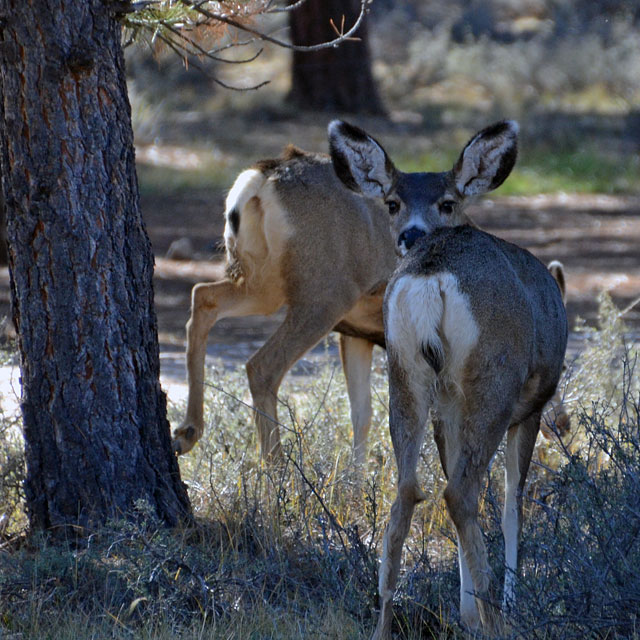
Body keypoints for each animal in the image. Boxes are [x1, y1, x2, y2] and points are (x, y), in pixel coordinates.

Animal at [330, 120, 568, 636]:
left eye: (446, 202)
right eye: (392, 202)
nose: (411, 233)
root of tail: (432, 274)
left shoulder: (446, 410)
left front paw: (466, 612)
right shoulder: (532, 407)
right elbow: (514, 504)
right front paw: (504, 605)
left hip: (406, 372)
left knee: (408, 490)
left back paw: (384, 622)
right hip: (493, 379)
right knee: (461, 493)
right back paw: (498, 620)